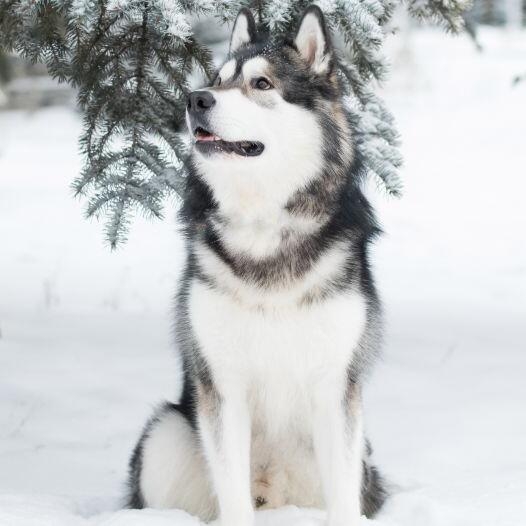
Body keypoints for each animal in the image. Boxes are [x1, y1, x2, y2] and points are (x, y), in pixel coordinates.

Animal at [129, 5, 388, 526]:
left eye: (261, 84)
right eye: (218, 80)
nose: (195, 99)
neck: (265, 225)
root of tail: (275, 490)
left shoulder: (334, 386)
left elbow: (344, 500)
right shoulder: (222, 386)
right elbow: (232, 491)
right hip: (164, 435)